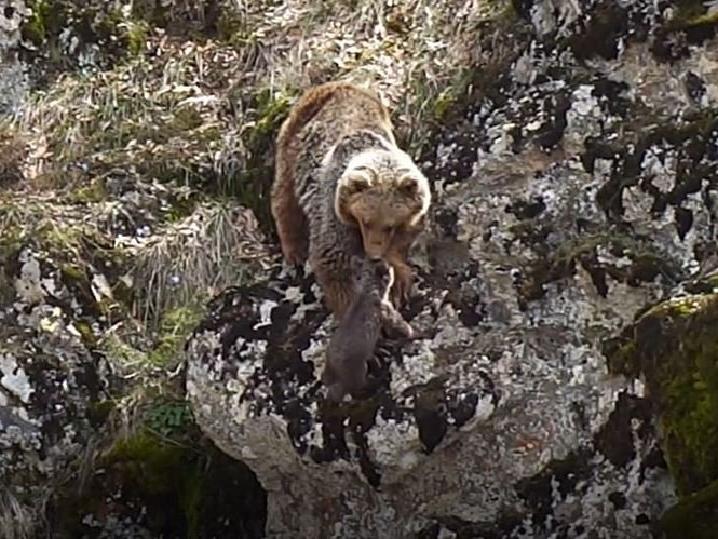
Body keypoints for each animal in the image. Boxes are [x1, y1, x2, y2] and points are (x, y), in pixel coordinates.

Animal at [270, 81, 431, 316]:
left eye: (390, 225)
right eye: (366, 221)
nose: (373, 253)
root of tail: (340, 82)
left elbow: (402, 243)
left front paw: (399, 282)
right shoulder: (333, 213)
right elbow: (333, 263)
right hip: (292, 143)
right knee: (284, 196)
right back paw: (294, 250)